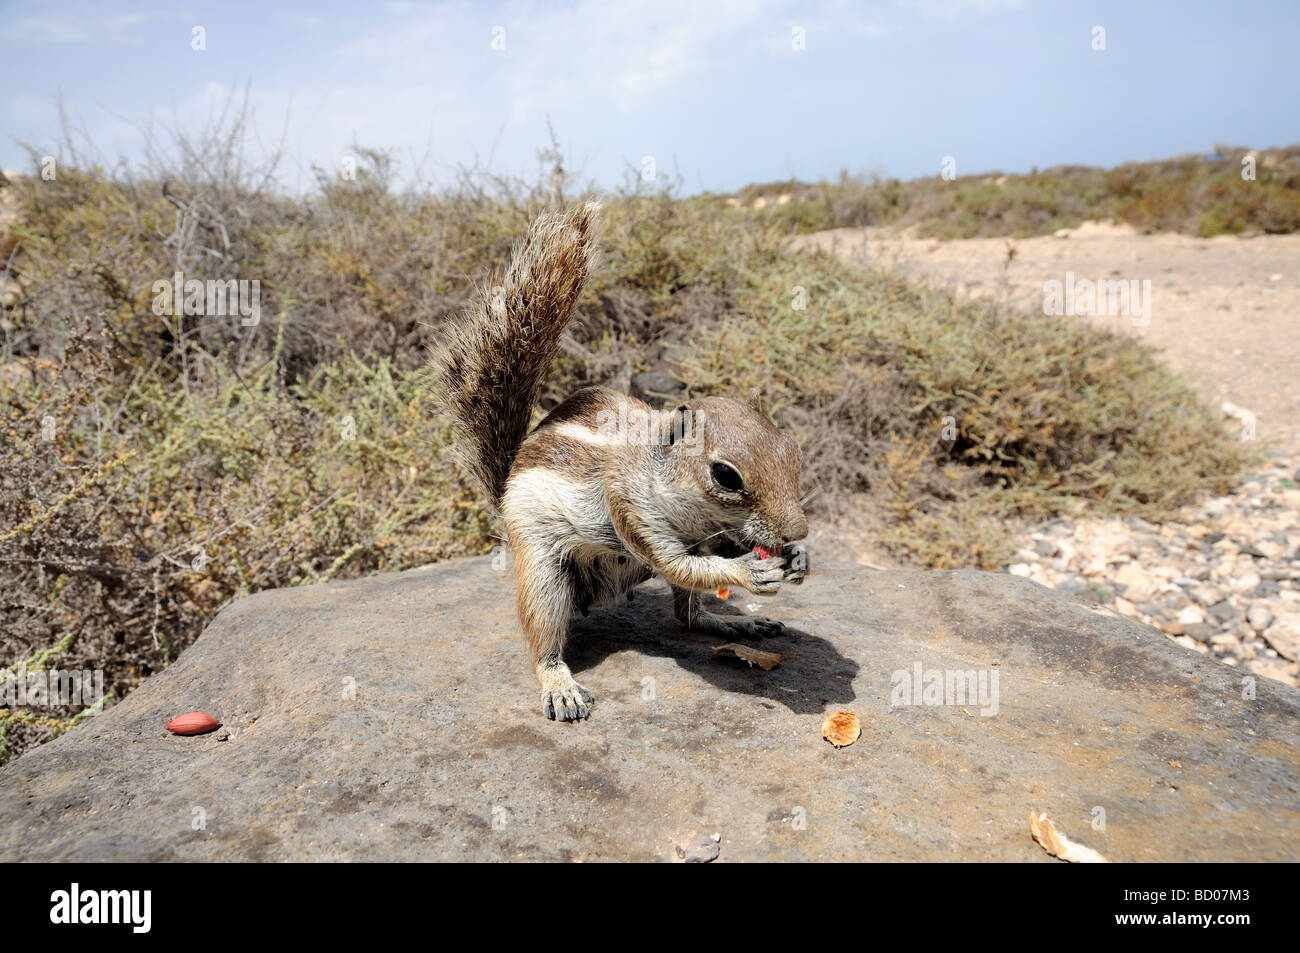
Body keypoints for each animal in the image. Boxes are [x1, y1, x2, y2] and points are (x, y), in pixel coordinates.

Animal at [441, 202, 806, 722]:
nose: (799, 531)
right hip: (541, 570)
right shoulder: (630, 508)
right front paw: (750, 573)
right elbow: (682, 566)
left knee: (686, 616)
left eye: (792, 450)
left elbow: (697, 571)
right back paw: (559, 686)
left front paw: (797, 559)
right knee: (544, 639)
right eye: (725, 475)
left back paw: (732, 625)